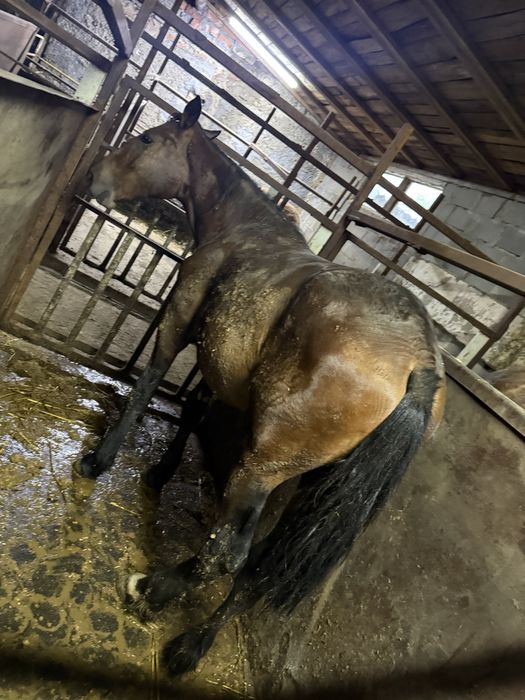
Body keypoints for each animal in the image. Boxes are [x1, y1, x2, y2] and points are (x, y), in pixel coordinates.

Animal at [80, 96, 445, 676]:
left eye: (148, 139)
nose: (95, 176)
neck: (246, 233)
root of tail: (419, 363)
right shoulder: (223, 370)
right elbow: (193, 407)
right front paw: (160, 471)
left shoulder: (178, 323)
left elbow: (149, 384)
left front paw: (101, 460)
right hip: (313, 488)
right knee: (258, 571)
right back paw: (191, 646)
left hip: (262, 467)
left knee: (227, 555)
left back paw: (153, 591)